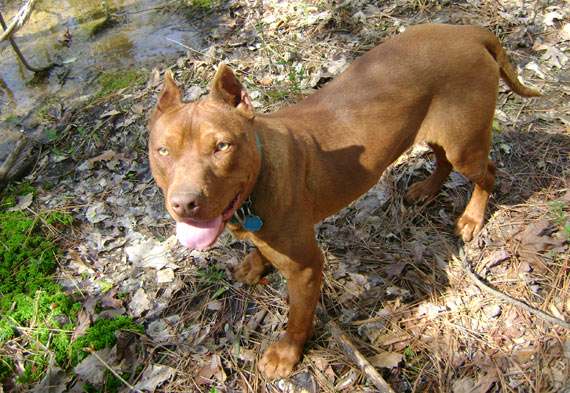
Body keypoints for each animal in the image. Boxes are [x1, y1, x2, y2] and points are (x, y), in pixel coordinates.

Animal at [146, 23, 536, 376]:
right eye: (163, 151)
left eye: (222, 146)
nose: (184, 203)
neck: (255, 183)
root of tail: (468, 31)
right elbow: (260, 249)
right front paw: (256, 264)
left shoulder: (305, 268)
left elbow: (298, 317)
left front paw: (287, 355)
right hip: (438, 132)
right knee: (442, 160)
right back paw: (426, 190)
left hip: (464, 143)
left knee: (488, 173)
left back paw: (472, 218)